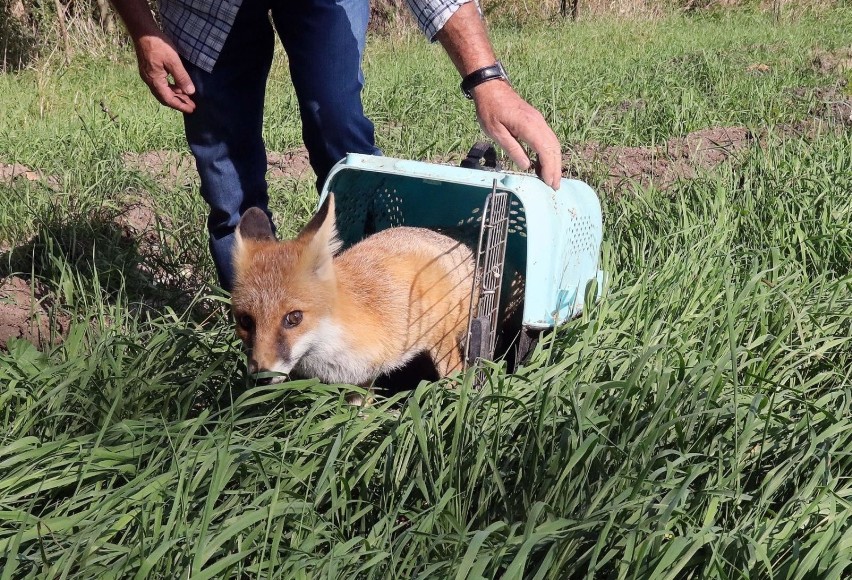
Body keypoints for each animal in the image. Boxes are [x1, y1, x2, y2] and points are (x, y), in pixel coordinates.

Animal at [230, 195, 476, 394]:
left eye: (294, 317)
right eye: (245, 321)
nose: (260, 377)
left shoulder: (441, 335)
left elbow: (454, 382)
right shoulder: (359, 379)